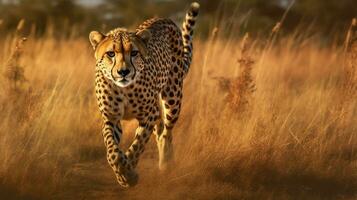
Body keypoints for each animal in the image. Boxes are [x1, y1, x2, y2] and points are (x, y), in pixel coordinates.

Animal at [88, 2, 199, 188]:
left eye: (134, 53)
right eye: (111, 54)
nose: (123, 72)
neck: (124, 89)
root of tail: (163, 18)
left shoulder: (148, 115)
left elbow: (137, 145)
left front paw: (129, 174)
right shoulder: (111, 118)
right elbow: (112, 150)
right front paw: (122, 172)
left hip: (172, 99)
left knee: (166, 133)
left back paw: (166, 163)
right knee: (161, 130)